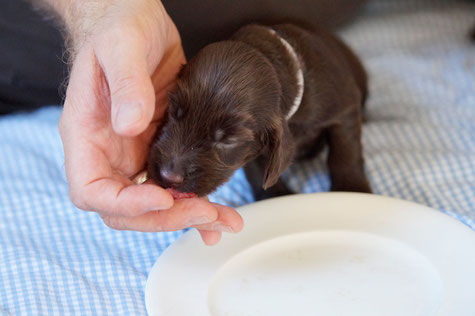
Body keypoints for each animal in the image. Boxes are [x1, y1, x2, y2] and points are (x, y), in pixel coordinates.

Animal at [148, 24, 372, 200]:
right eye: (174, 112)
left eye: (229, 140)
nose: (168, 175)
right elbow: (255, 168)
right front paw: (274, 196)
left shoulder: (344, 107)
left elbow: (345, 151)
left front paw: (352, 189)